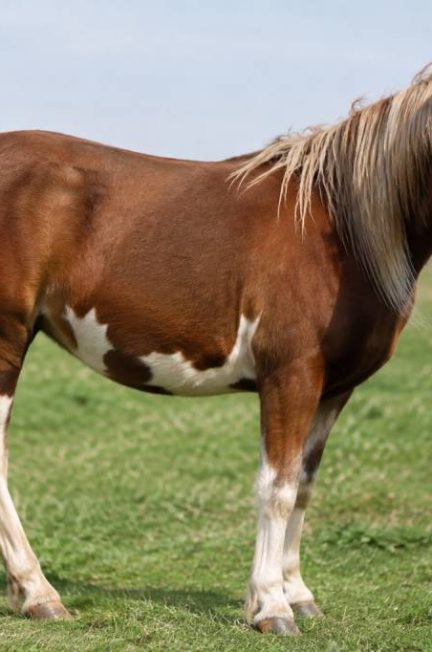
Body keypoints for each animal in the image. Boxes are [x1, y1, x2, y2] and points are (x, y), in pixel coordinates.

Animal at [0, 67, 431, 636]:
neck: (340, 230)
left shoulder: (334, 388)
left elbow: (304, 485)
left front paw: (298, 594)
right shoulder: (290, 375)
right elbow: (277, 487)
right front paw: (270, 606)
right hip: (5, 339)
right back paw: (39, 593)